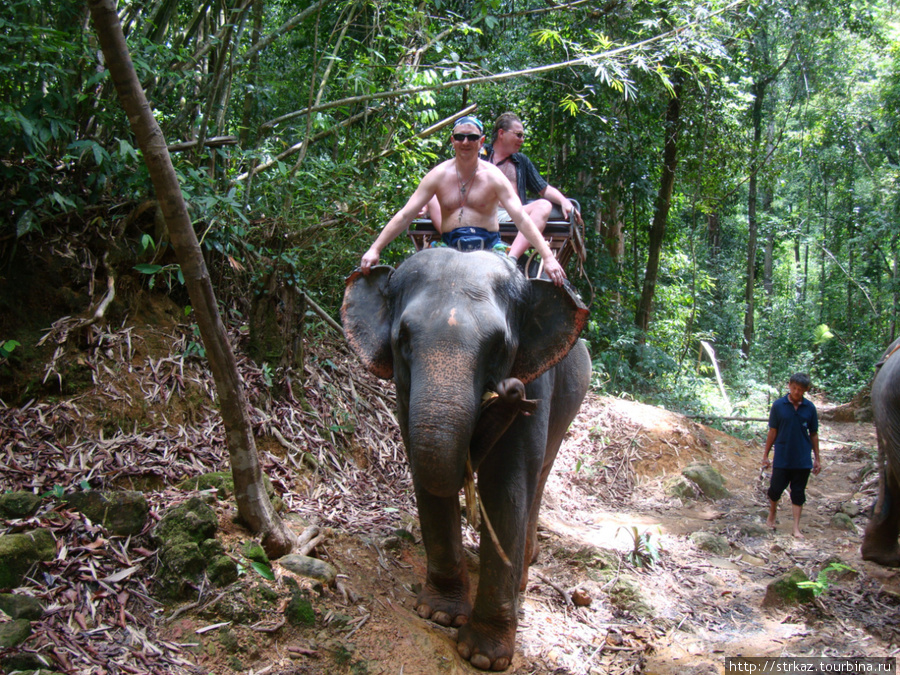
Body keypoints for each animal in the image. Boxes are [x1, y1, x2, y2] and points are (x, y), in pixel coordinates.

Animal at [340, 248, 592, 672]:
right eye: (402, 339)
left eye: (499, 346)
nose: (510, 391)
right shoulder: (405, 396)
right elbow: (425, 469)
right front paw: (441, 614)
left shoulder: (536, 384)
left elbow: (506, 487)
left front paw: (484, 656)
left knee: (538, 479)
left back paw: (524, 575)